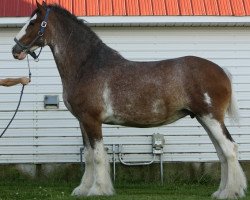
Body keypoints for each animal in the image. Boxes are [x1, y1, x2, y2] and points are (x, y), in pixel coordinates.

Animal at [11, 1, 246, 198]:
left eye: (32, 23)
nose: (15, 50)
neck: (87, 66)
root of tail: (221, 71)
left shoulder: (92, 120)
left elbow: (98, 155)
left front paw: (98, 190)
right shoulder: (82, 122)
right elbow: (88, 155)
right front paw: (83, 189)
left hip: (210, 117)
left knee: (229, 149)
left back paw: (231, 192)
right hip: (203, 118)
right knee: (221, 153)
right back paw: (220, 191)